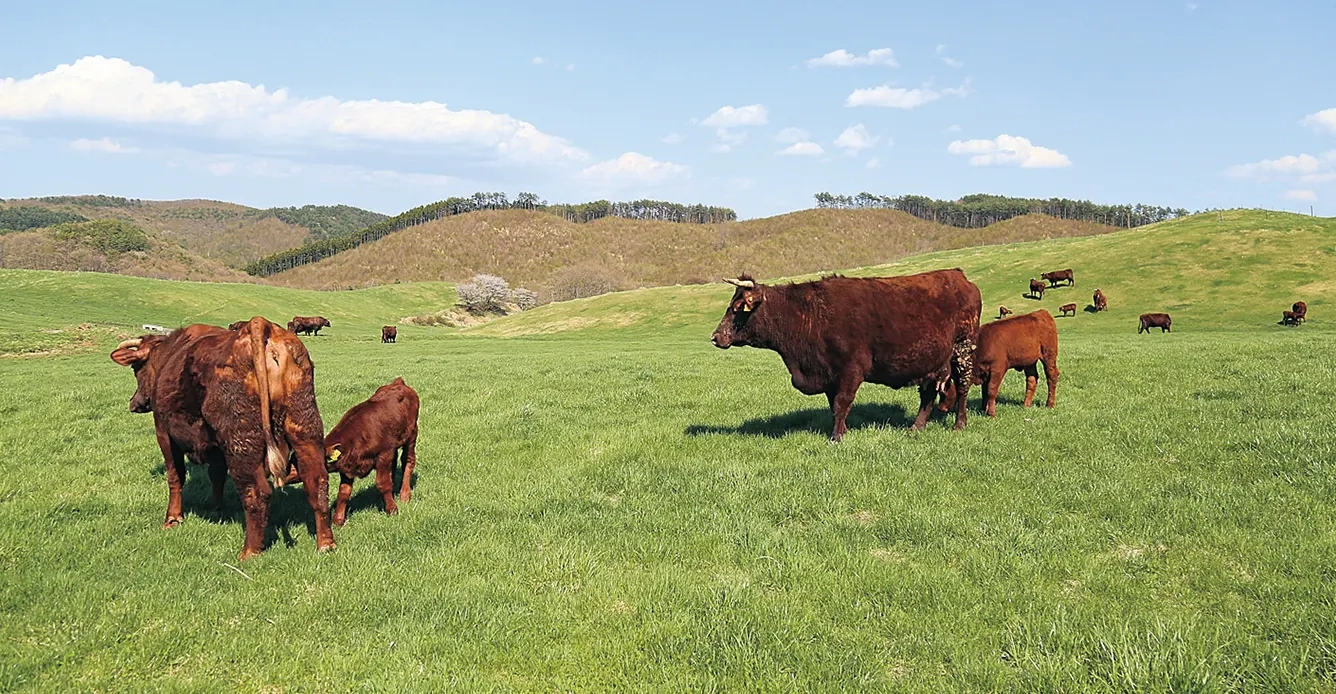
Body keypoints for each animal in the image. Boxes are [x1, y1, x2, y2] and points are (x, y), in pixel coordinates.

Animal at [112, 318, 336, 561]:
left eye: (136, 369)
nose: (134, 403)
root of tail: (261, 324)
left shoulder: (163, 432)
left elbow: (175, 476)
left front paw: (173, 518)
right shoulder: (216, 447)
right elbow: (216, 475)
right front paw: (217, 508)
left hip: (240, 441)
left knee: (257, 494)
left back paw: (249, 552)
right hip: (305, 429)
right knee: (317, 482)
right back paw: (326, 543)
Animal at [321, 379, 416, 526]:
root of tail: (398, 382)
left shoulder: (383, 455)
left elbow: (382, 483)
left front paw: (392, 510)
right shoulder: (346, 466)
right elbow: (343, 492)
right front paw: (338, 520)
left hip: (411, 434)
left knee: (408, 460)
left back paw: (405, 495)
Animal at [710, 267, 983, 441]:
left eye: (737, 307)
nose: (715, 336)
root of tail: (957, 275)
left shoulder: (851, 370)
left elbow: (843, 402)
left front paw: (837, 437)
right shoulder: (829, 374)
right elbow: (834, 405)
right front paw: (841, 431)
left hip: (963, 350)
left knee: (962, 387)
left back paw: (959, 424)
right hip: (931, 362)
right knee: (927, 395)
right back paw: (916, 427)